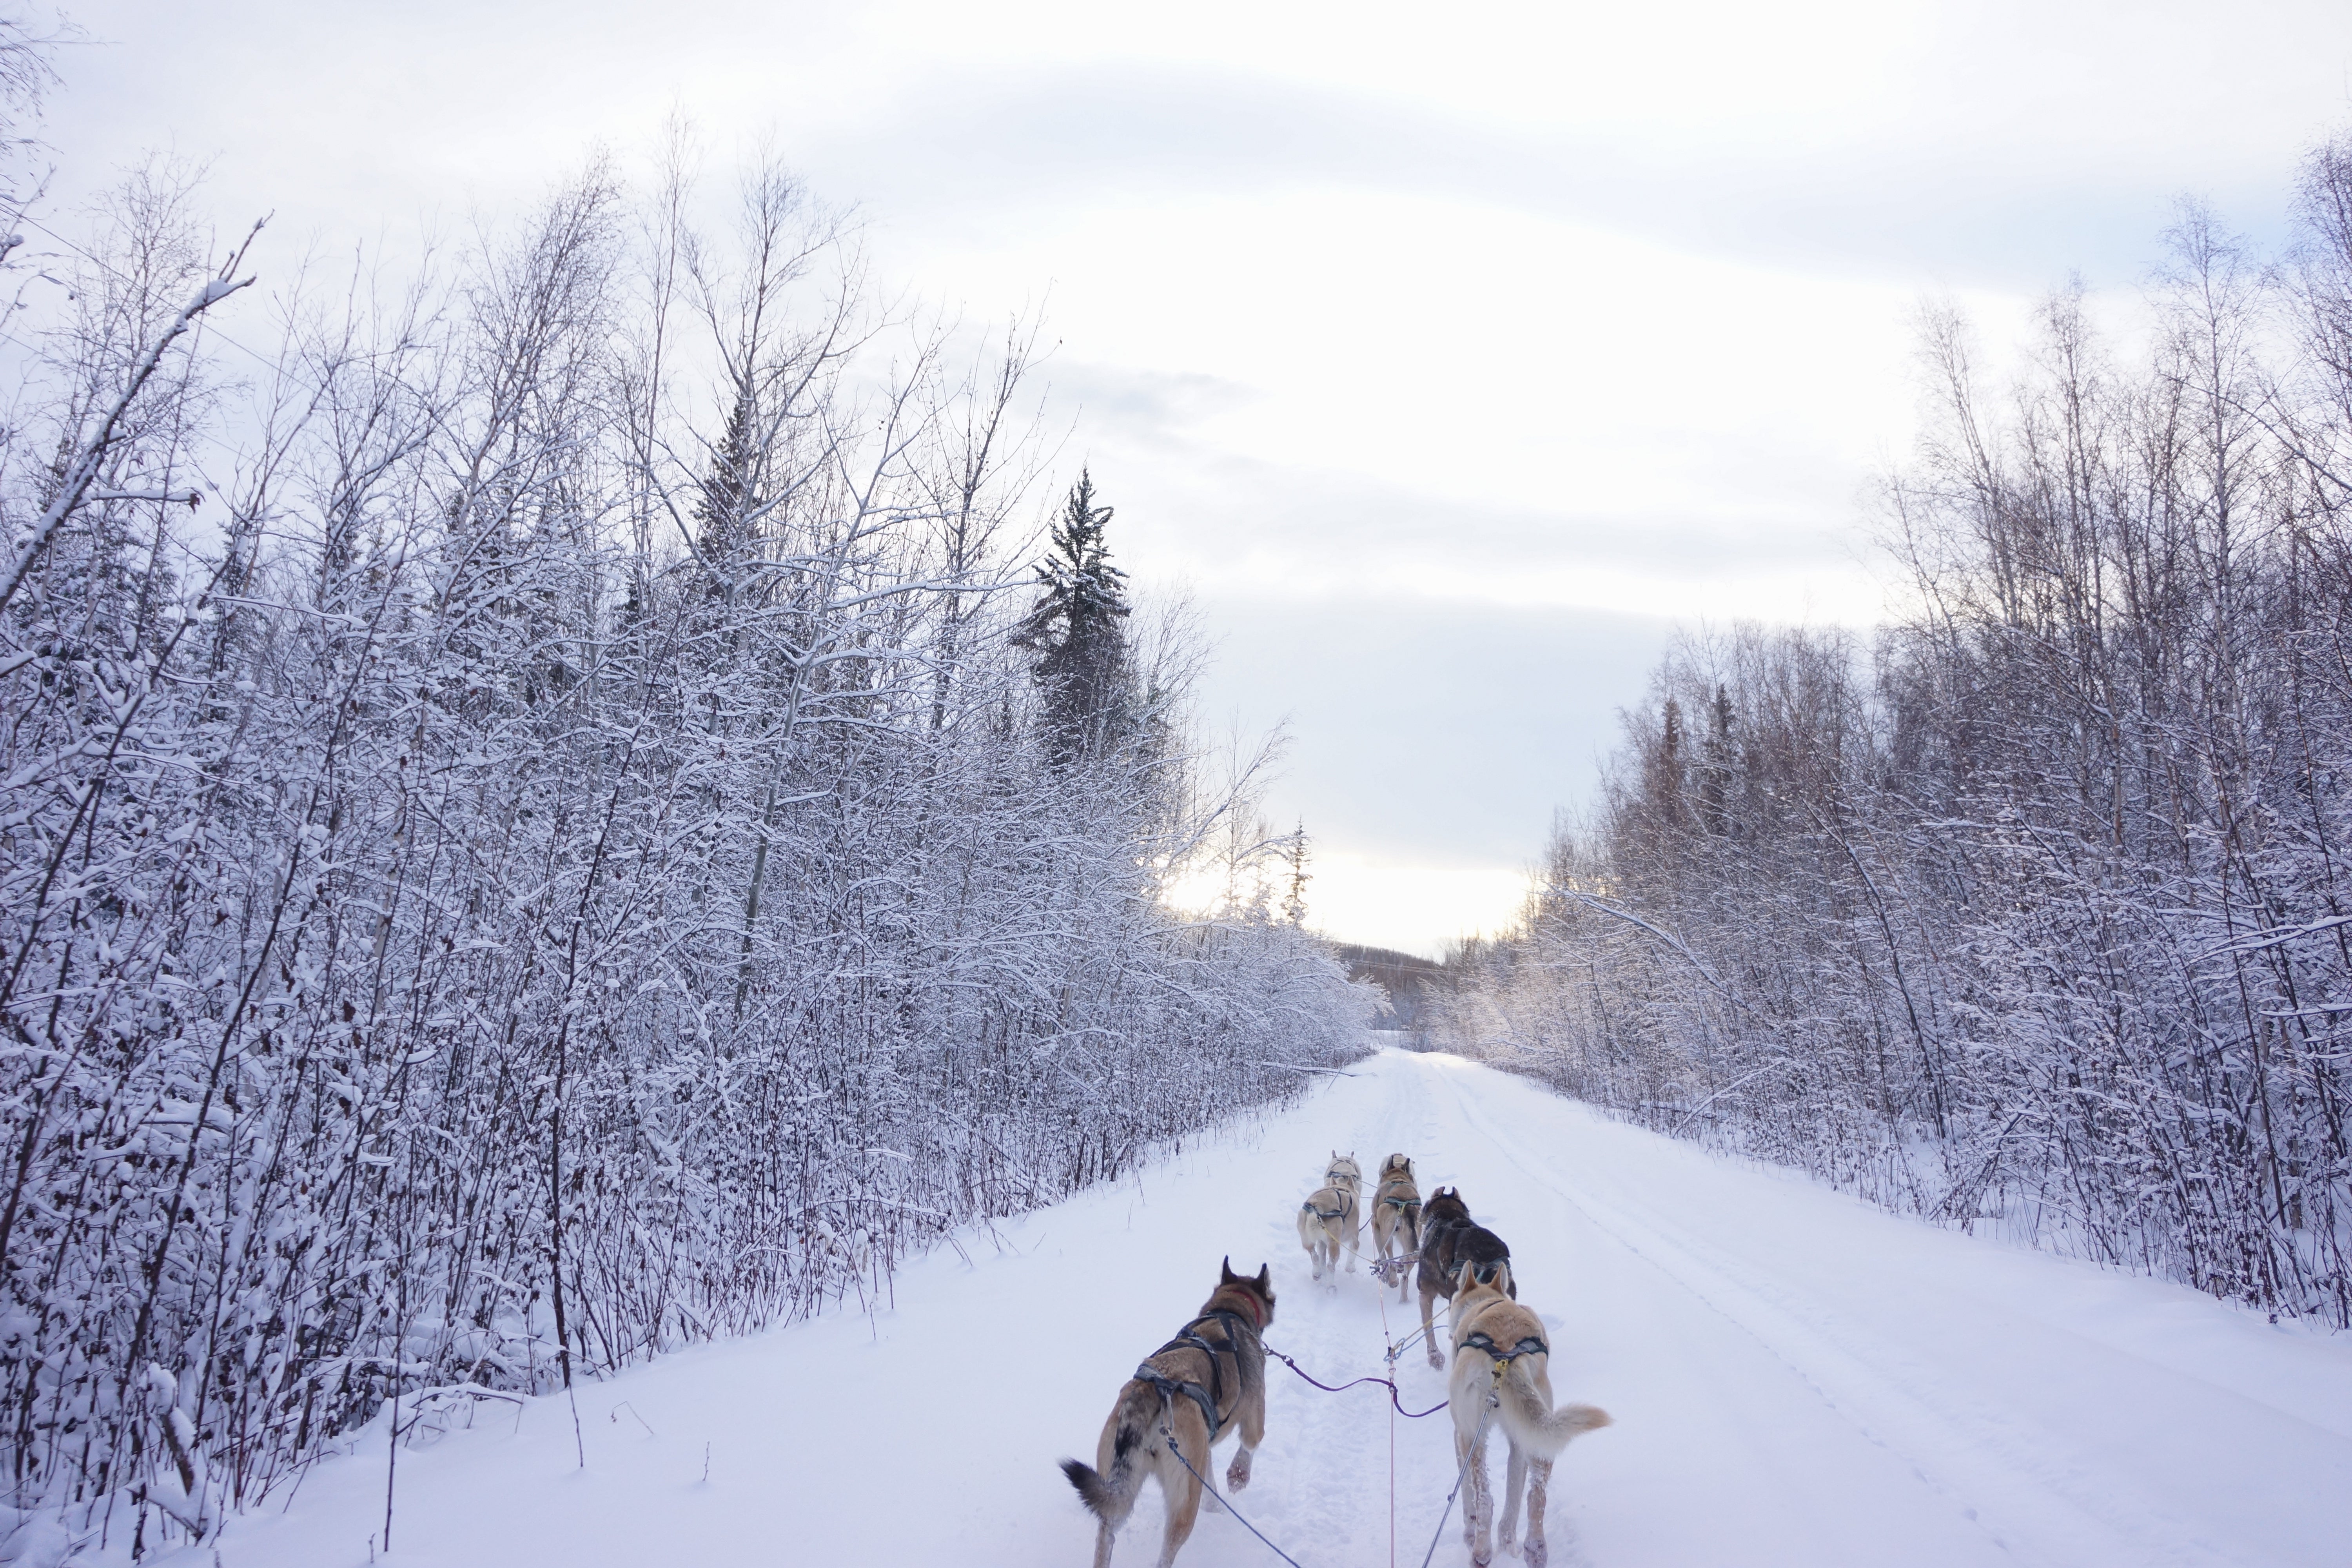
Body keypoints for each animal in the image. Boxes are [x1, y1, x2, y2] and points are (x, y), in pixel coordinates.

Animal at [1063, 1260, 1279, 1568]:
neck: (1230, 1312)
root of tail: (1150, 1392)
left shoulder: (1203, 1452)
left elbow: (1210, 1484)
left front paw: (1217, 1508)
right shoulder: (1254, 1416)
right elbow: (1250, 1445)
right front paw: (1238, 1477)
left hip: (1119, 1484)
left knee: (1106, 1532)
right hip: (1183, 1501)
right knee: (1168, 1549)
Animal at [1298, 1147, 1374, 1279]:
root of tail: (1317, 1208)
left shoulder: (1322, 1242)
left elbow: (1322, 1255)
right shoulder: (1353, 1236)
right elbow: (1353, 1251)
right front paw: (1350, 1268)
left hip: (1307, 1239)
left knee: (1314, 1255)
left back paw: (1317, 1272)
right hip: (1334, 1242)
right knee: (1331, 1265)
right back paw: (1330, 1282)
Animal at [1374, 1152, 1421, 1298]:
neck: (1398, 1177)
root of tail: (1404, 1204)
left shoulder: (1376, 1228)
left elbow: (1382, 1255)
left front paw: (1385, 1275)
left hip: (1387, 1235)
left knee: (1390, 1259)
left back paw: (1392, 1280)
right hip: (1413, 1238)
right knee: (1406, 1268)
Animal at [1439, 1260, 1609, 1568]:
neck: (1486, 1303)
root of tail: (1506, 1355)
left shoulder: (1460, 1436)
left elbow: (1467, 1497)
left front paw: (1470, 1535)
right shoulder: (1516, 1444)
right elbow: (1514, 1496)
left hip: (1474, 1439)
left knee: (1484, 1500)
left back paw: (1481, 1552)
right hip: (1538, 1438)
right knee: (1533, 1498)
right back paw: (1531, 1549)